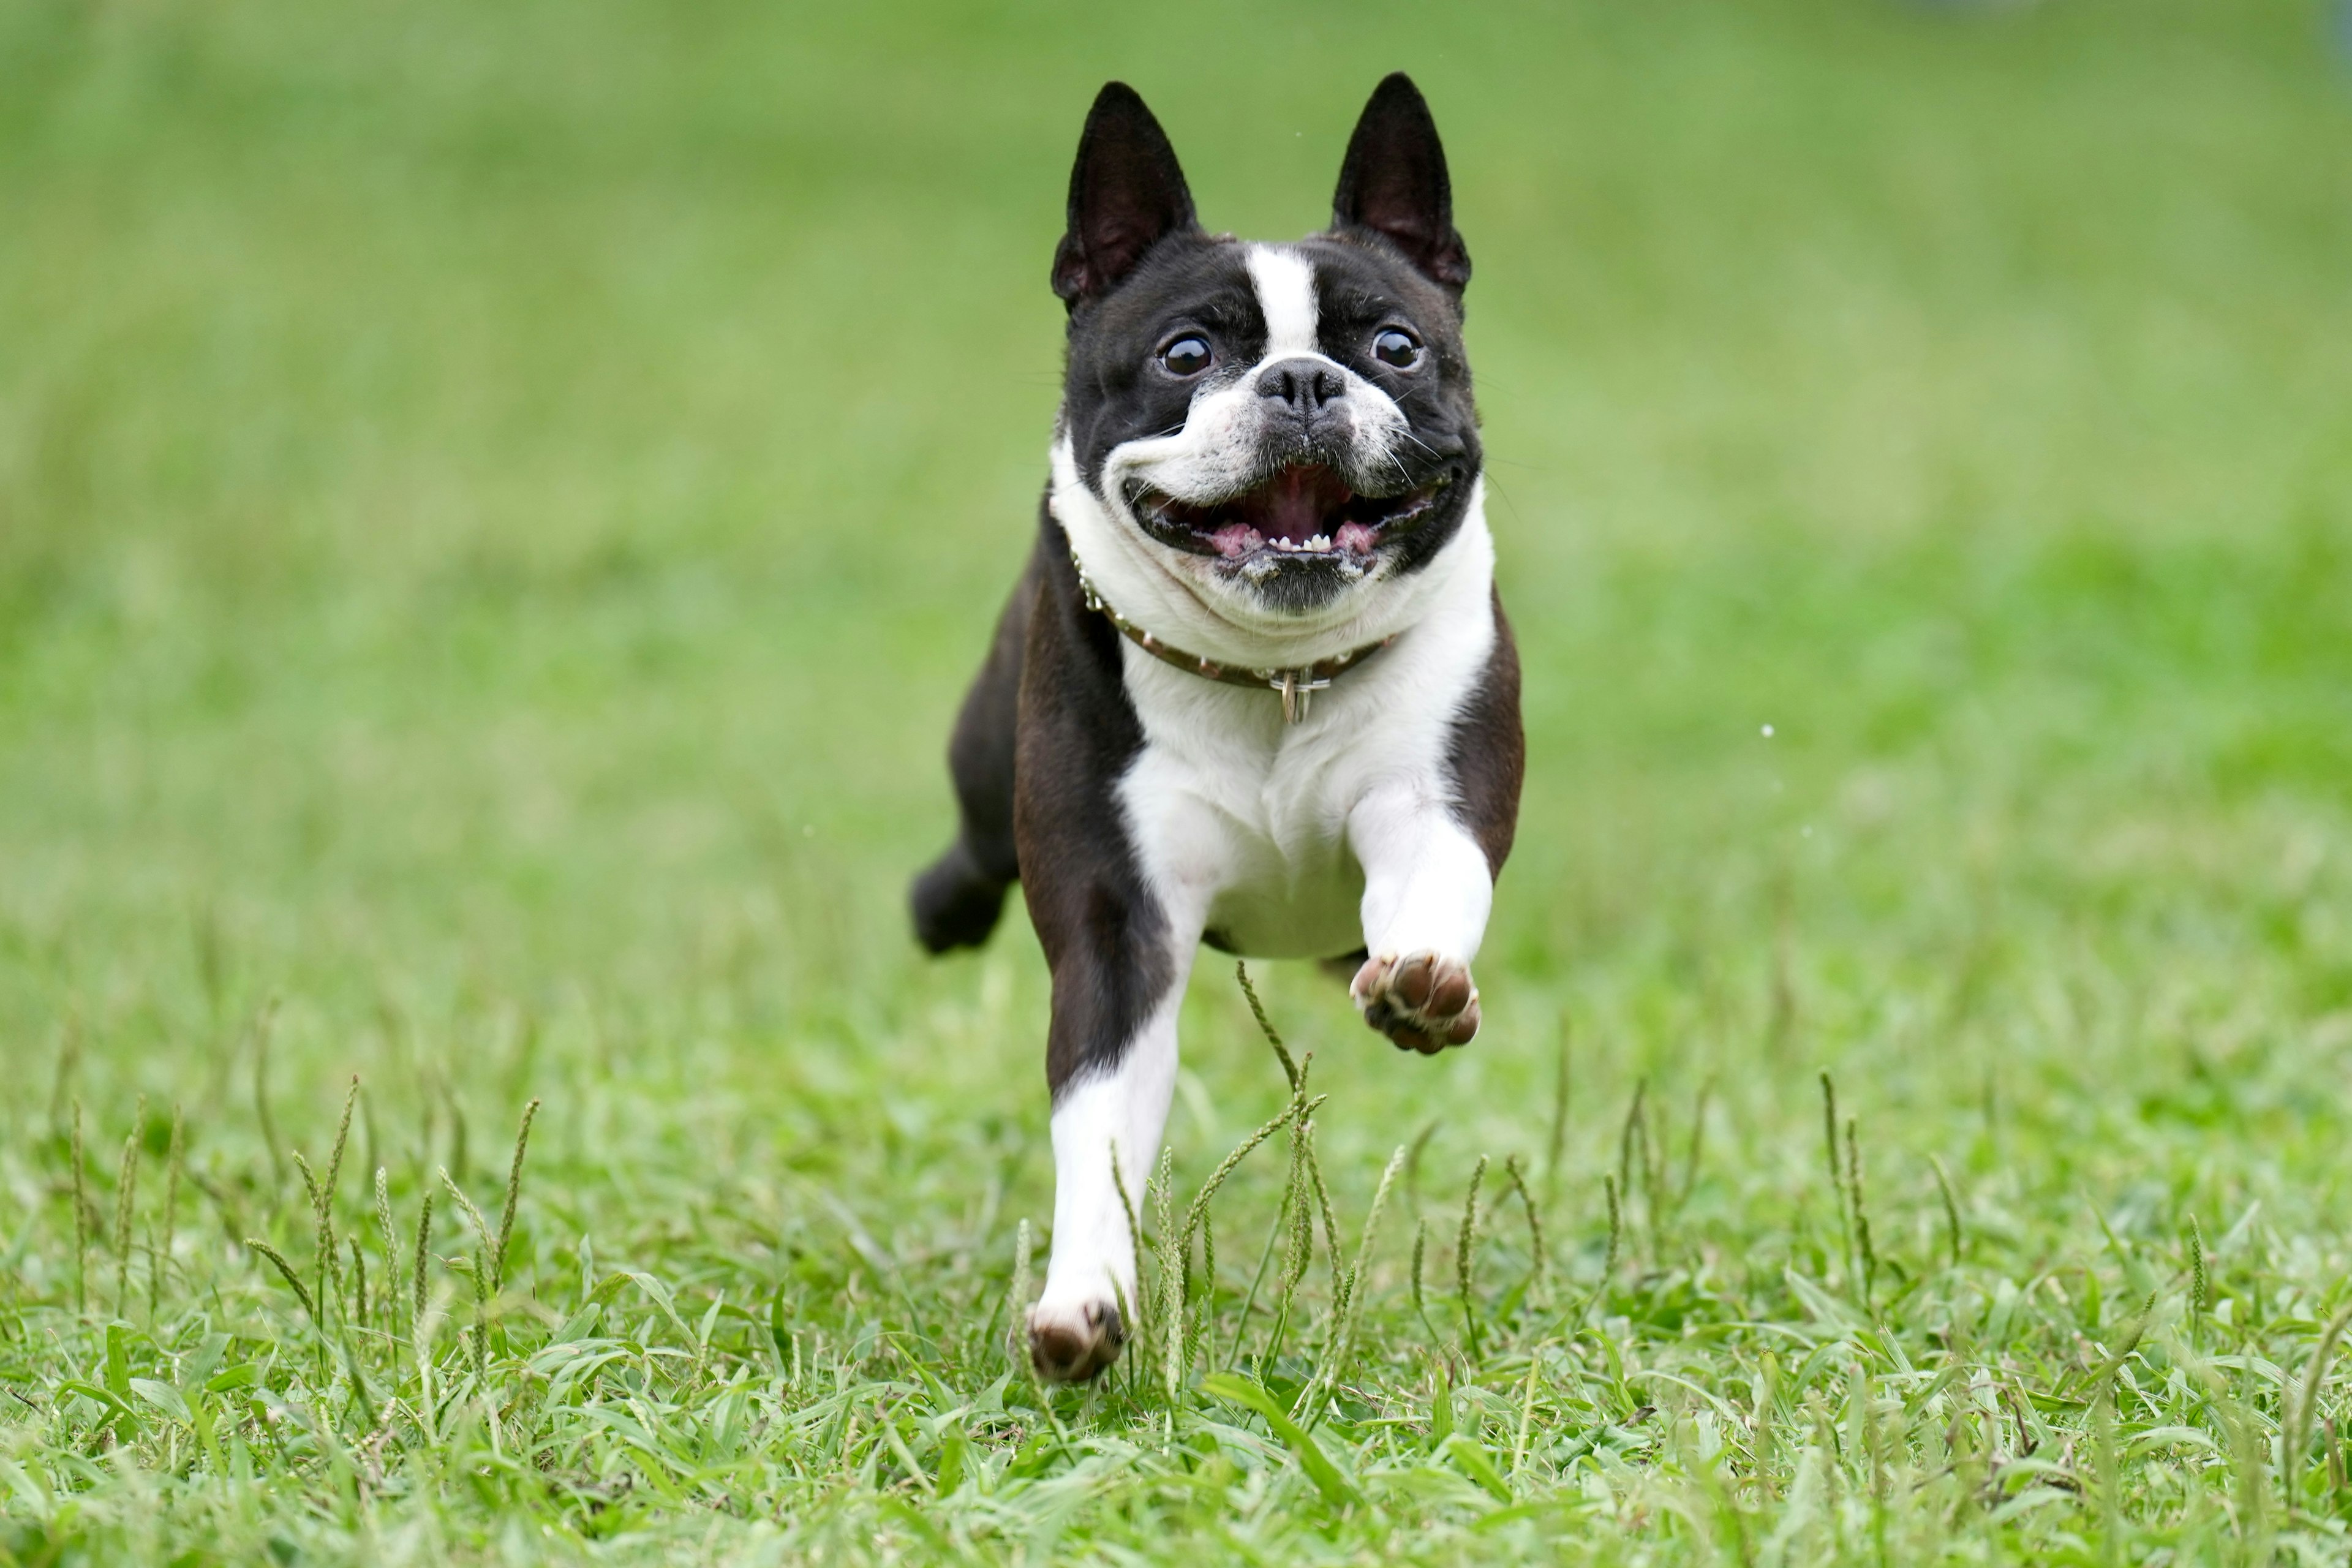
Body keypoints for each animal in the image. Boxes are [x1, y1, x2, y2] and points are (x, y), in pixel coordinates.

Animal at [908, 76, 1514, 1373]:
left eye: (1395, 346)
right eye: (1186, 354)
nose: (1301, 381)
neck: (1272, 675)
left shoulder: (1429, 800)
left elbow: (1435, 883)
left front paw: (1426, 983)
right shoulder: (1117, 928)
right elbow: (1099, 1124)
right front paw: (1085, 1296)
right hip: (985, 765)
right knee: (969, 853)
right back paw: (939, 909)